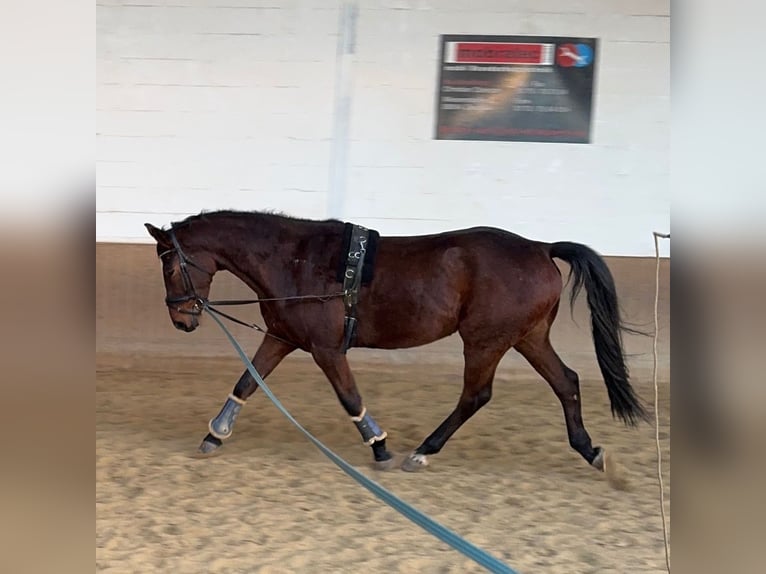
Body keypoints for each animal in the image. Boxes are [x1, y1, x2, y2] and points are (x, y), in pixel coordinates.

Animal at [145, 210, 648, 474]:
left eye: (169, 264)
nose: (180, 319)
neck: (295, 260)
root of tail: (541, 248)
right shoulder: (281, 337)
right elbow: (247, 383)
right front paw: (215, 433)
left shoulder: (326, 349)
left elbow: (350, 397)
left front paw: (380, 446)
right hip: (528, 337)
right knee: (567, 382)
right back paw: (589, 449)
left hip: (486, 340)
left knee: (476, 395)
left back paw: (423, 450)